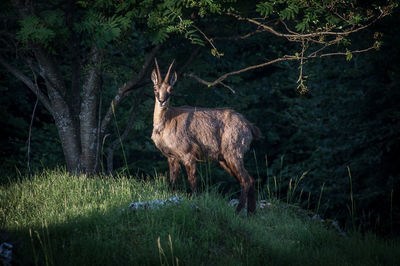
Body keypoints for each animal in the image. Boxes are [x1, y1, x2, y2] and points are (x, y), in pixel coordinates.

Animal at [152, 59, 260, 213]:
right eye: (155, 88)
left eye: (170, 89)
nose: (162, 101)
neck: (167, 122)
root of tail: (249, 126)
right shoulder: (172, 157)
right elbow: (172, 182)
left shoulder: (188, 155)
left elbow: (193, 182)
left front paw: (196, 203)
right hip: (224, 159)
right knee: (250, 179)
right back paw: (251, 213)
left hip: (233, 154)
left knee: (246, 180)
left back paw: (238, 211)